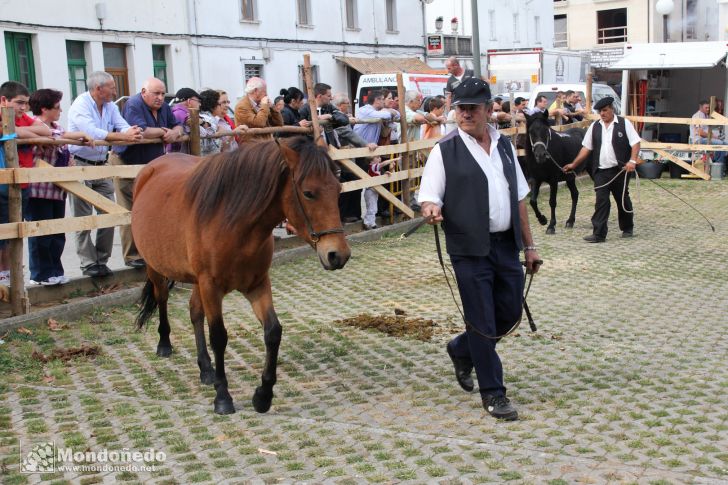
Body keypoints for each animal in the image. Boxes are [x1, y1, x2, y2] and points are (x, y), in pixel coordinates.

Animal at [132, 136, 352, 412]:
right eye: (308, 193)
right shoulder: (211, 286)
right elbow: (219, 337)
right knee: (162, 298)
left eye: (338, 189)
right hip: (156, 267)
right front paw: (223, 397)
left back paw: (206, 369)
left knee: (195, 312)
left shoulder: (256, 284)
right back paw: (164, 344)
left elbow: (273, 332)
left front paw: (263, 395)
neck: (233, 224)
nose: (338, 255)